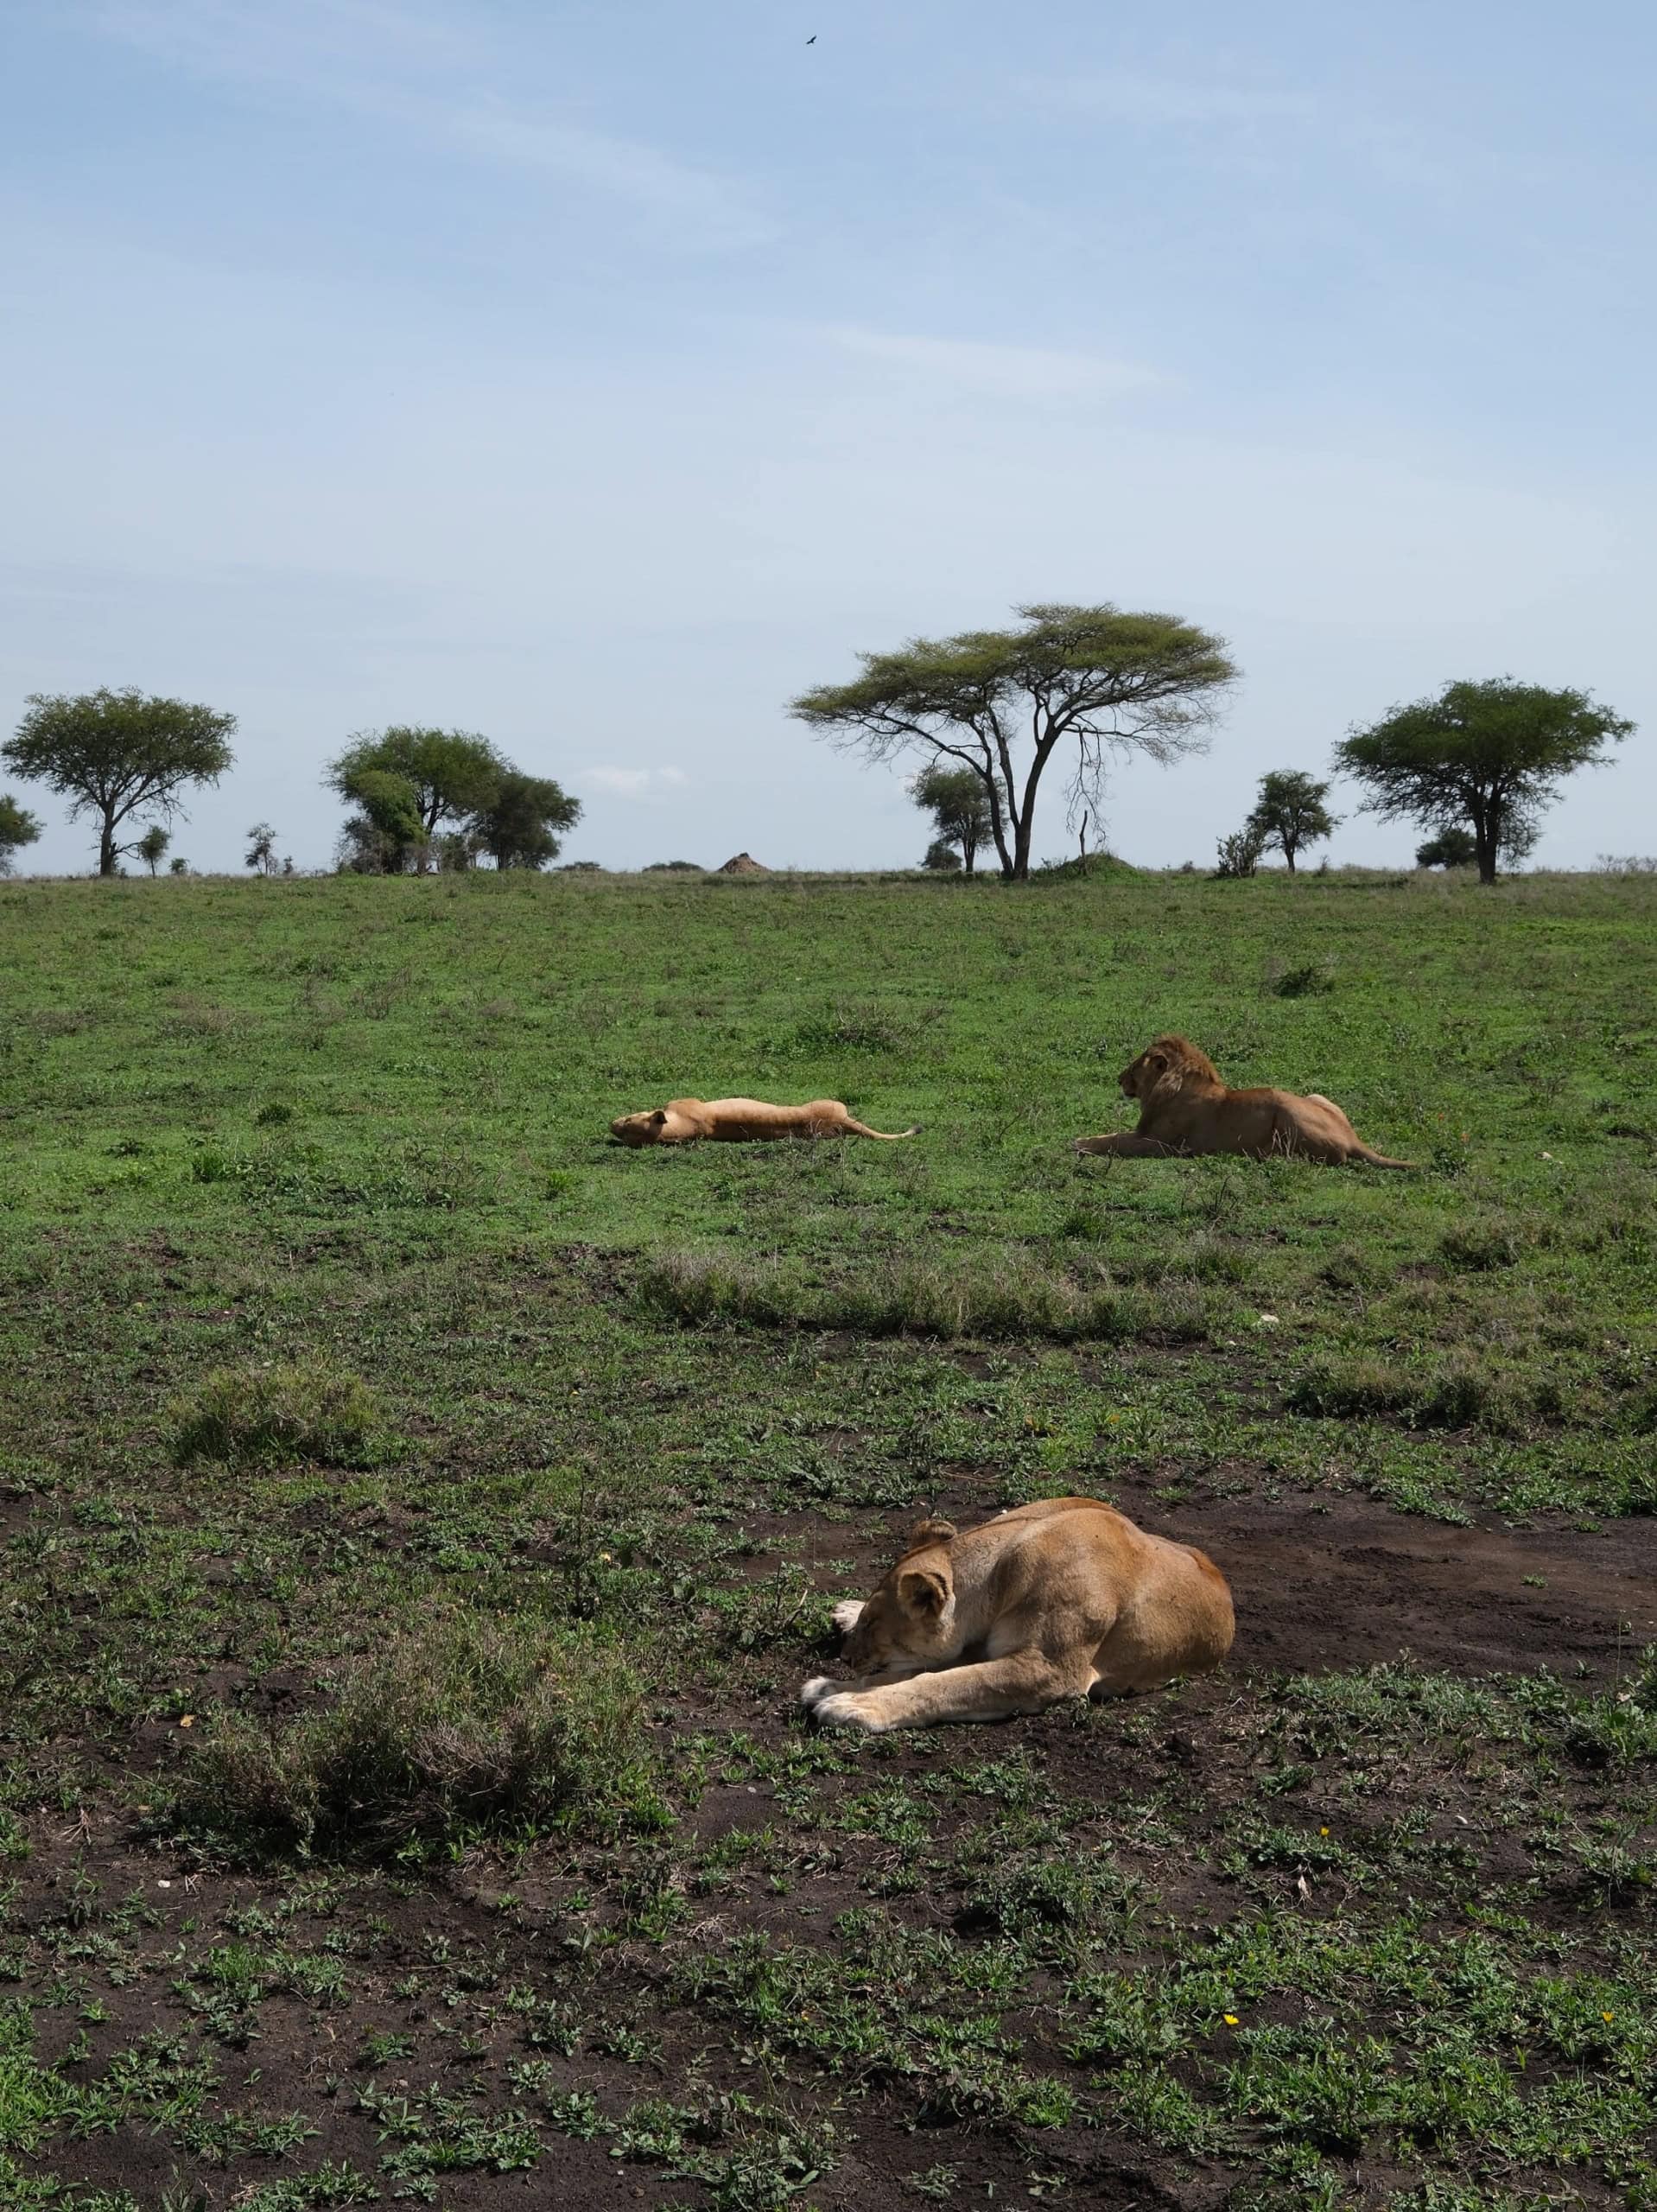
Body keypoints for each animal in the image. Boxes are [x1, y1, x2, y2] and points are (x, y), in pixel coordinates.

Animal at [800, 1497, 1233, 1733]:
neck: (1000, 1577)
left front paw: (853, 1704)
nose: (845, 1658)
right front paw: (833, 1686)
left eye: (875, 1624)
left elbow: (942, 1684)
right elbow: (925, 1675)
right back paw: (843, 1610)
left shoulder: (1047, 1670)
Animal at [1074, 1035, 1416, 1168]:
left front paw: (1080, 1146)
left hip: (1289, 1110)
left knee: (1332, 1157)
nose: (1119, 1079)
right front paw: (1082, 1140)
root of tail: (1352, 1137)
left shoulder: (1164, 1145)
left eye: (1134, 1067)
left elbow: (1117, 1142)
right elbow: (1111, 1135)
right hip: (1316, 1097)